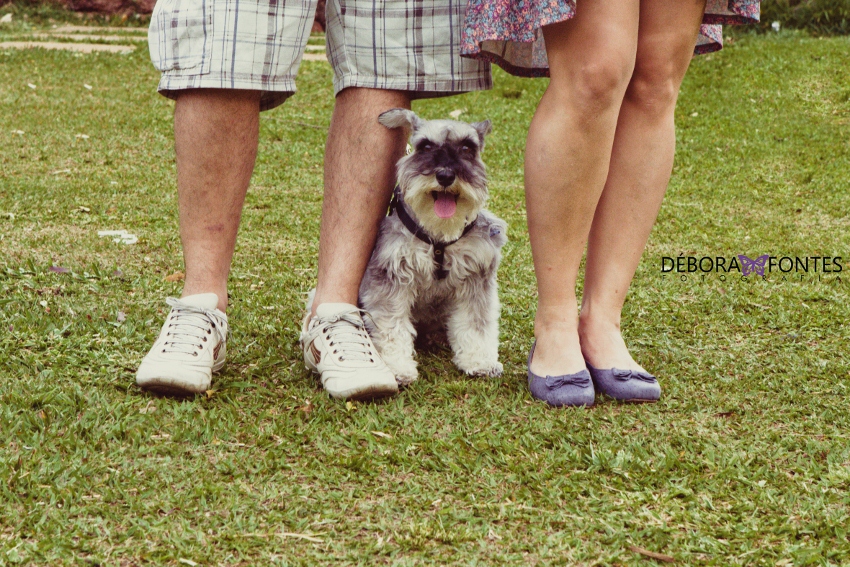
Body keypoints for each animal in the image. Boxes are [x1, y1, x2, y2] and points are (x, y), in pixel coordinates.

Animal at [358, 109, 508, 385]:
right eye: (425, 146)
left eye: (467, 148)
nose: (446, 176)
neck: (439, 234)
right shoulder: (392, 277)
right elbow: (391, 324)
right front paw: (397, 367)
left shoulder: (476, 276)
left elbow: (476, 322)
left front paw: (479, 360)